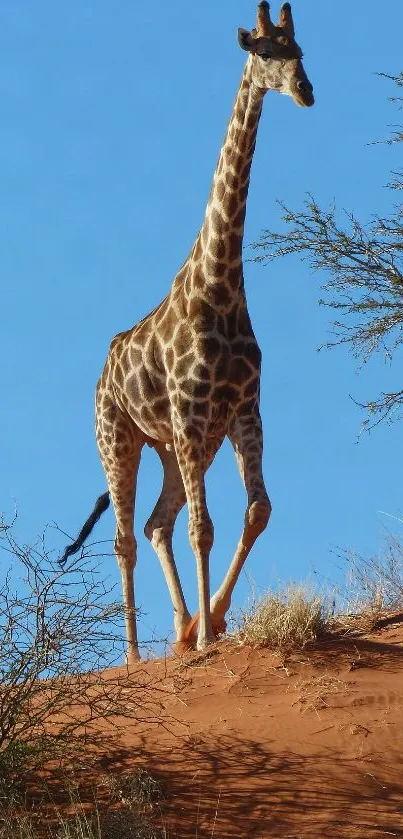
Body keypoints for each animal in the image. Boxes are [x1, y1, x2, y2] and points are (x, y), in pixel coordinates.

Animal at [61, 3, 316, 668]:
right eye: (262, 50)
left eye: (300, 49)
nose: (306, 91)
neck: (220, 286)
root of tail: (102, 373)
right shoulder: (190, 408)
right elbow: (207, 527)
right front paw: (204, 637)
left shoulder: (242, 408)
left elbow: (258, 510)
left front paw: (211, 622)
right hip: (121, 439)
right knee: (126, 536)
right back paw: (133, 655)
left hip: (175, 445)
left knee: (157, 523)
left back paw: (178, 629)